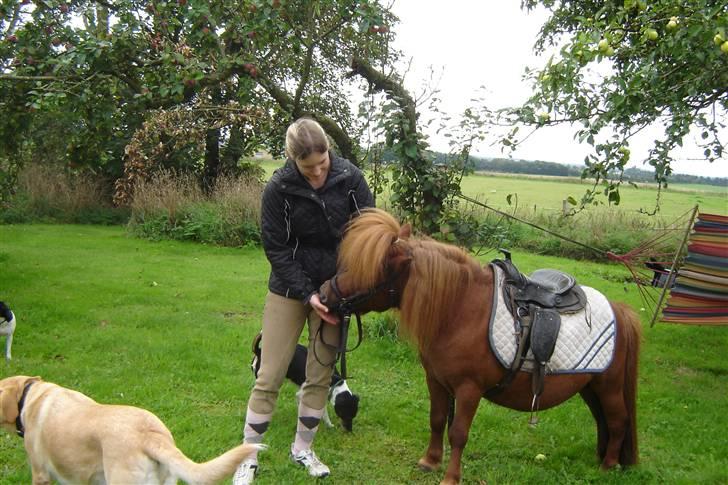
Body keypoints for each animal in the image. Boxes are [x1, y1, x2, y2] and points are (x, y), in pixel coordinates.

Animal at [322, 208, 640, 484]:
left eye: (367, 268)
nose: (323, 296)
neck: (460, 309)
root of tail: (620, 311)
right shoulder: (436, 380)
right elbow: (437, 419)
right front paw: (430, 461)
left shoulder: (468, 389)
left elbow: (458, 433)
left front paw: (451, 477)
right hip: (589, 386)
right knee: (603, 420)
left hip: (609, 386)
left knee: (618, 421)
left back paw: (608, 466)